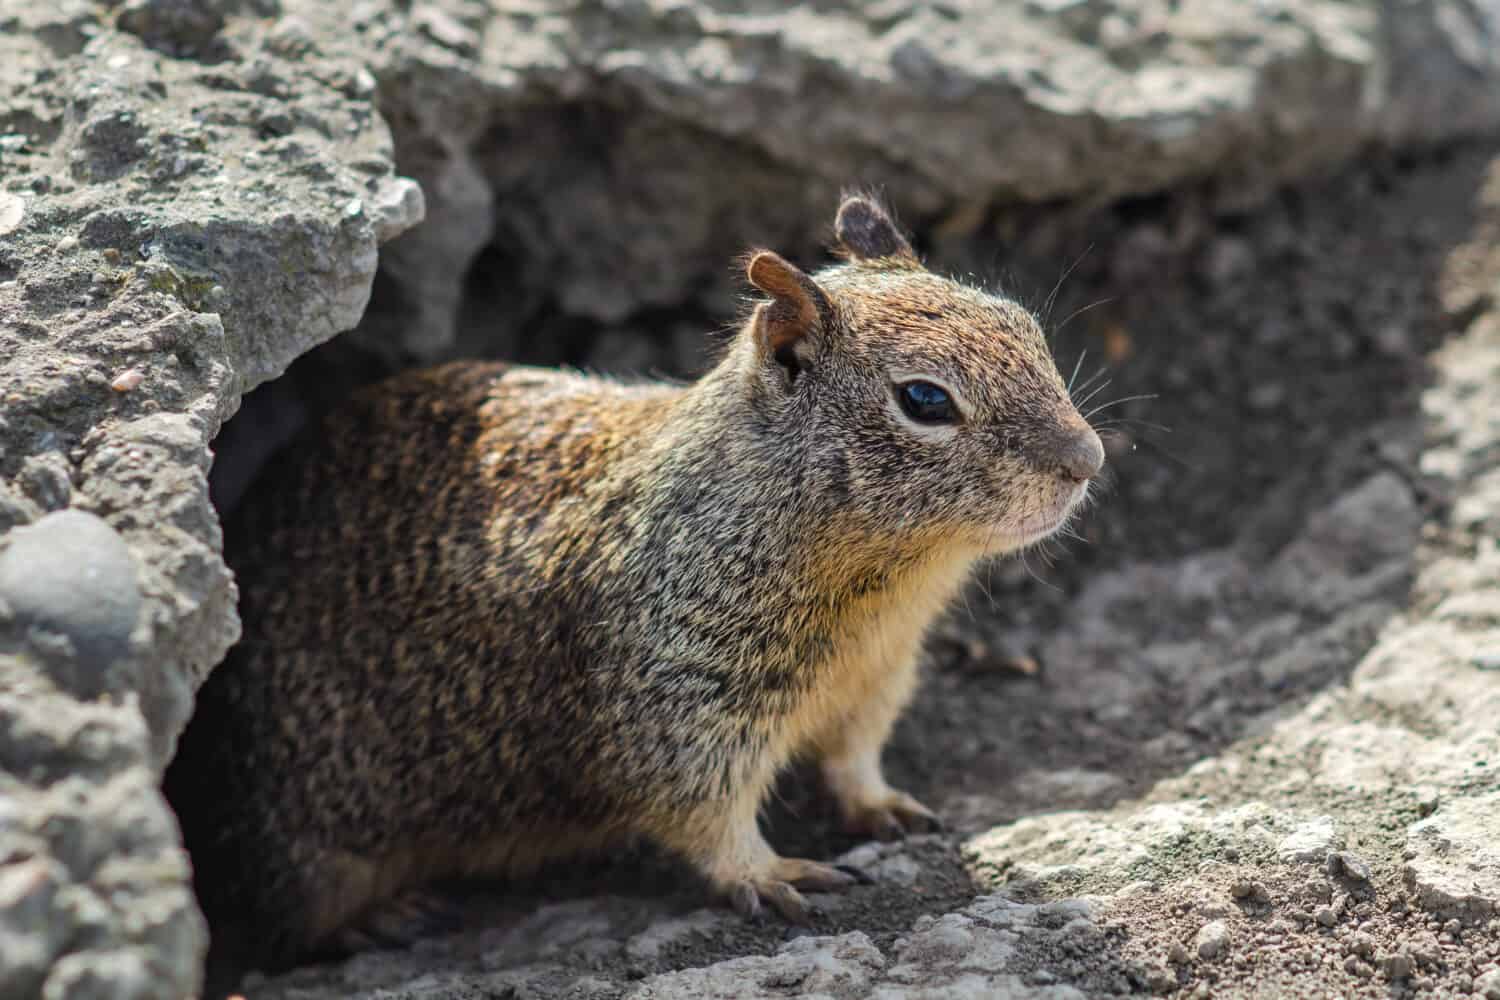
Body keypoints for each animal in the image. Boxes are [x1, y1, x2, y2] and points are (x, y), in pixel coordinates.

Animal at [164, 193, 1104, 977]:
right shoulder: (675, 706)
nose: (1087, 459)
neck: (881, 592)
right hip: (301, 837)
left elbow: (854, 756)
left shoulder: (876, 678)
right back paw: (376, 917)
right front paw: (771, 872)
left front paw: (882, 806)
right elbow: (703, 813)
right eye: (924, 400)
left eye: (1025, 325)